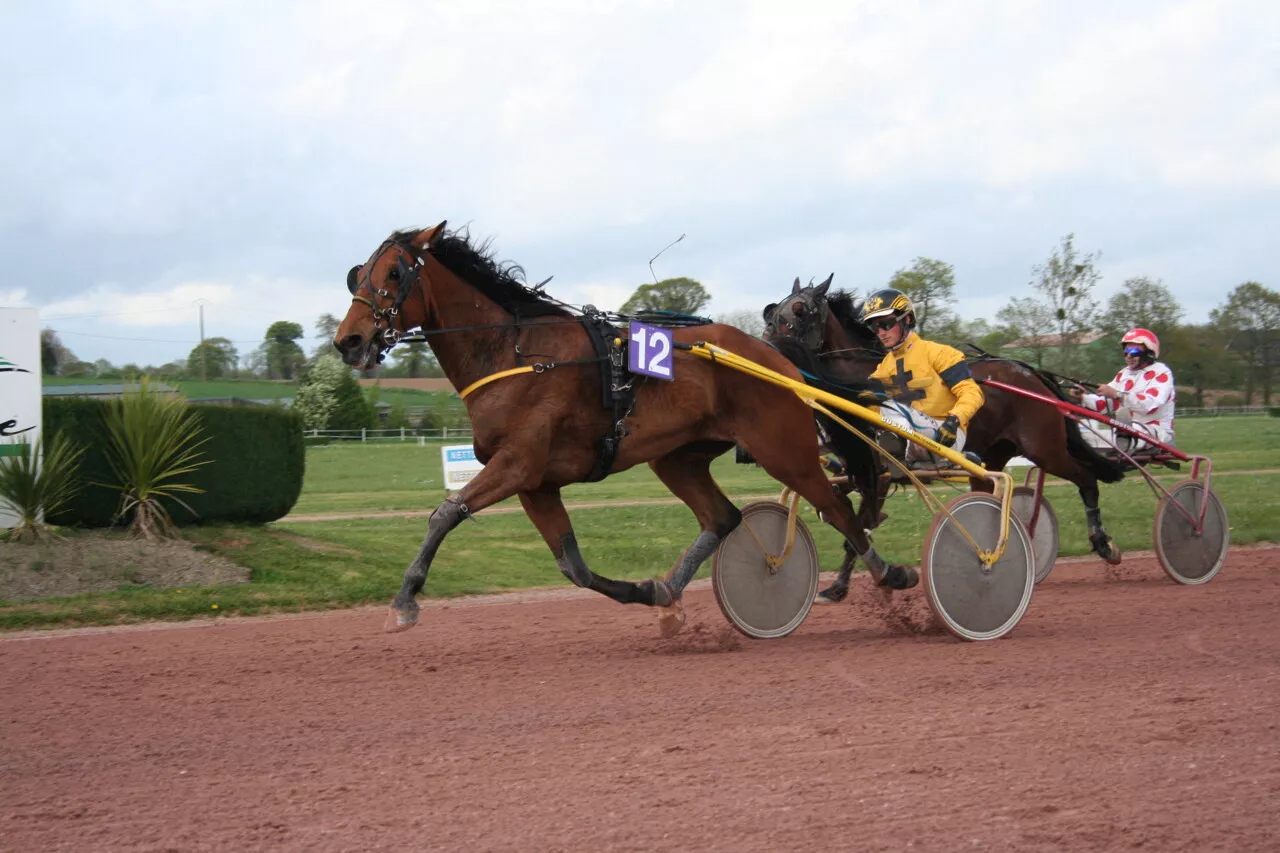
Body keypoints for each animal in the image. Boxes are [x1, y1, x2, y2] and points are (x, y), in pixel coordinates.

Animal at [332, 222, 921, 635]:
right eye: (357, 273)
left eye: (393, 274)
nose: (349, 341)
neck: (515, 352)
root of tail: (773, 354)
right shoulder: (537, 483)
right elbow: (573, 567)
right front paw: (649, 593)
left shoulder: (517, 464)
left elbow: (445, 513)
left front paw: (405, 601)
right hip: (677, 456)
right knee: (723, 517)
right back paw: (672, 592)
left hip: (784, 448)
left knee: (840, 507)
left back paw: (888, 574)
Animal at [762, 277, 1126, 596]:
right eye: (773, 310)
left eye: (799, 310)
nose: (766, 344)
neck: (856, 386)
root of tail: (1030, 373)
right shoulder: (855, 470)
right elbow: (843, 513)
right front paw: (839, 583)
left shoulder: (880, 473)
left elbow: (856, 526)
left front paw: (865, 579)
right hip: (993, 456)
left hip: (1044, 447)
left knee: (1086, 479)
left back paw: (1103, 543)